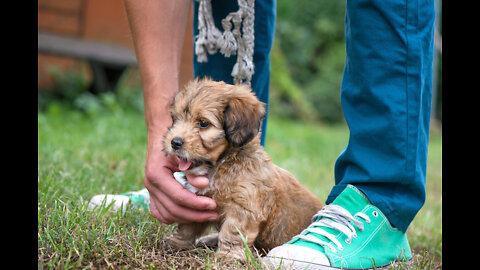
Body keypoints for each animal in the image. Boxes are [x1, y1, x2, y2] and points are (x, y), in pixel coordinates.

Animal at [161, 78, 322, 262]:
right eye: (175, 119)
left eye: (203, 123)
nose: (175, 142)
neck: (221, 164)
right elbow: (188, 226)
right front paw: (177, 243)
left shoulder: (243, 208)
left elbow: (232, 233)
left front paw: (227, 256)